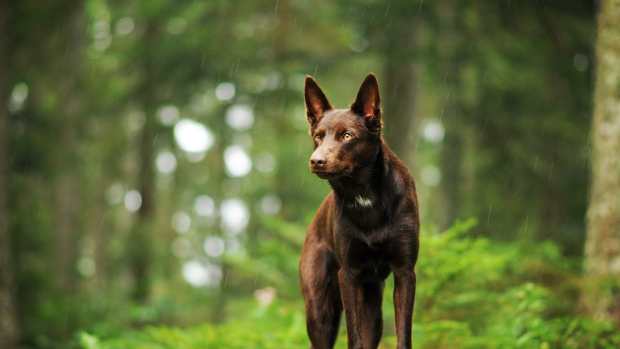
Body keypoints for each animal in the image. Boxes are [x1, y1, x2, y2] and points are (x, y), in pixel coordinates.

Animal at [298, 74, 418, 348]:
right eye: (318, 136)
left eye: (347, 135)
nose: (316, 160)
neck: (364, 195)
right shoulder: (348, 275)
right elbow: (354, 338)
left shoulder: (405, 272)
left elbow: (403, 336)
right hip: (320, 310)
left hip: (373, 307)